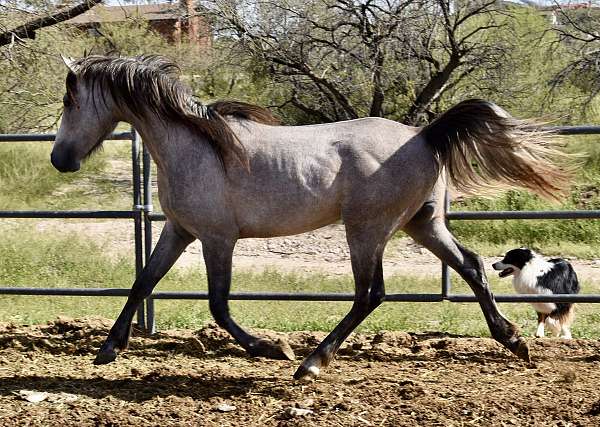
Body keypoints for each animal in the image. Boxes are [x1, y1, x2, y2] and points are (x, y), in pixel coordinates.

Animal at [50, 56, 568, 382]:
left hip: (367, 230)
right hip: (422, 224)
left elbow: (218, 305)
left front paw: (271, 348)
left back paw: (311, 364)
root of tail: (424, 135)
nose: (59, 160)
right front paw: (106, 350)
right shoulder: (178, 231)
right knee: (472, 266)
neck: (199, 147)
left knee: (371, 293)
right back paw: (513, 340)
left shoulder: (218, 238)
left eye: (70, 102)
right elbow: (142, 282)